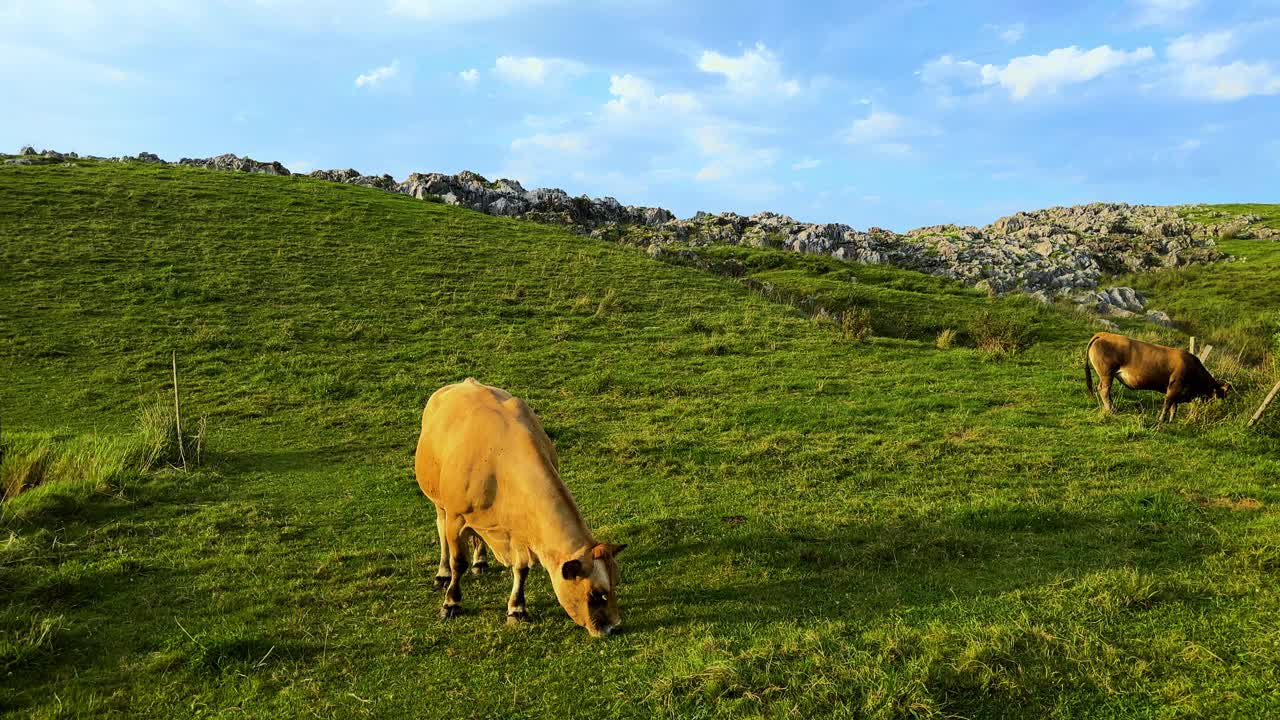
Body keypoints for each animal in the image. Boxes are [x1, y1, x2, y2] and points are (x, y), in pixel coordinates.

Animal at [412, 376, 627, 632]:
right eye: (597, 594)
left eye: (615, 586)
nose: (615, 627)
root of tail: (463, 382)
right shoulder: (457, 517)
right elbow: (458, 562)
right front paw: (451, 603)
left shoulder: (520, 529)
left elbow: (521, 568)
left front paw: (517, 608)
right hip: (438, 500)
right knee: (441, 529)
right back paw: (442, 574)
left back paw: (480, 560)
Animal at [1085, 330, 1223, 420]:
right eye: (1218, 395)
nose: (1218, 407)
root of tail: (1103, 334)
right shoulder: (1174, 386)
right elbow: (1168, 404)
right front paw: (1162, 419)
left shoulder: (1176, 390)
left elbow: (1174, 406)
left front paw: (1171, 420)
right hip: (1106, 374)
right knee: (1104, 390)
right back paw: (1111, 409)